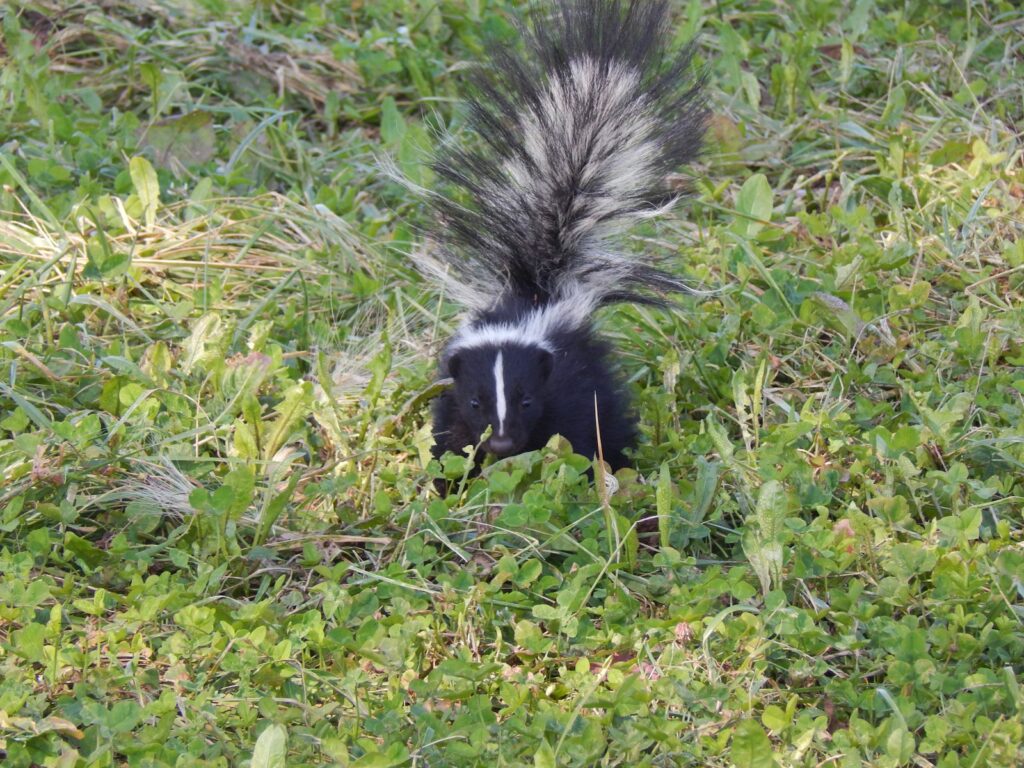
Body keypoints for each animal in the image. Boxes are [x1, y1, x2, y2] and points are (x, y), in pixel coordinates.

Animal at [416, 0, 708, 475]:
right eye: (477, 401)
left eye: (527, 400)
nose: (502, 442)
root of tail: (540, 282)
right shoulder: (451, 398)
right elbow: (450, 443)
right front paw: (448, 479)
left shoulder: (570, 388)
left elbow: (581, 437)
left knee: (610, 419)